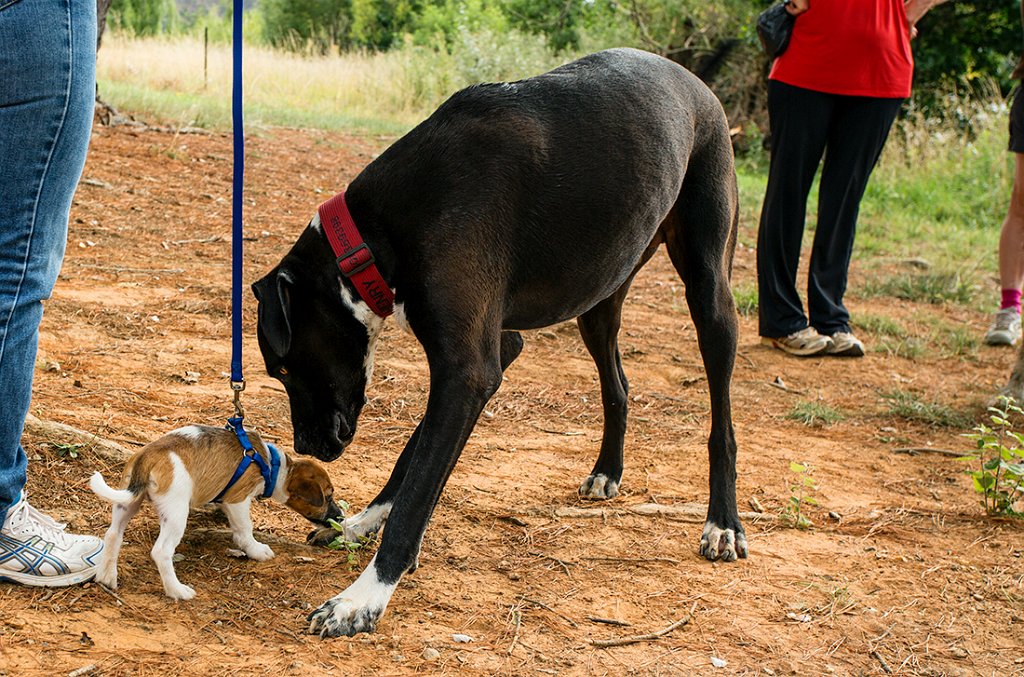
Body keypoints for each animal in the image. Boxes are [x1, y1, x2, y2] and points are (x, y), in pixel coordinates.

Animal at [90, 426, 342, 598]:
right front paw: (255, 550)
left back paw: (107, 577)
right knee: (161, 551)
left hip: (128, 501)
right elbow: (245, 529)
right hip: (176, 513)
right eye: (328, 496)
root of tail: (149, 455)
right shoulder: (238, 499)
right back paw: (177, 591)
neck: (273, 465)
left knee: (113, 535)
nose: (340, 517)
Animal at [253, 47, 745, 635]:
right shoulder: (486, 359)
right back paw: (608, 471)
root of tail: (697, 84)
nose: (306, 446)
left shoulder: (468, 372)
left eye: (283, 369)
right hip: (599, 298)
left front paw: (363, 597)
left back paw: (723, 523)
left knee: (722, 422)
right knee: (619, 387)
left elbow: (420, 488)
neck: (377, 233)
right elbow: (415, 457)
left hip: (710, 293)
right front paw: (363, 523)